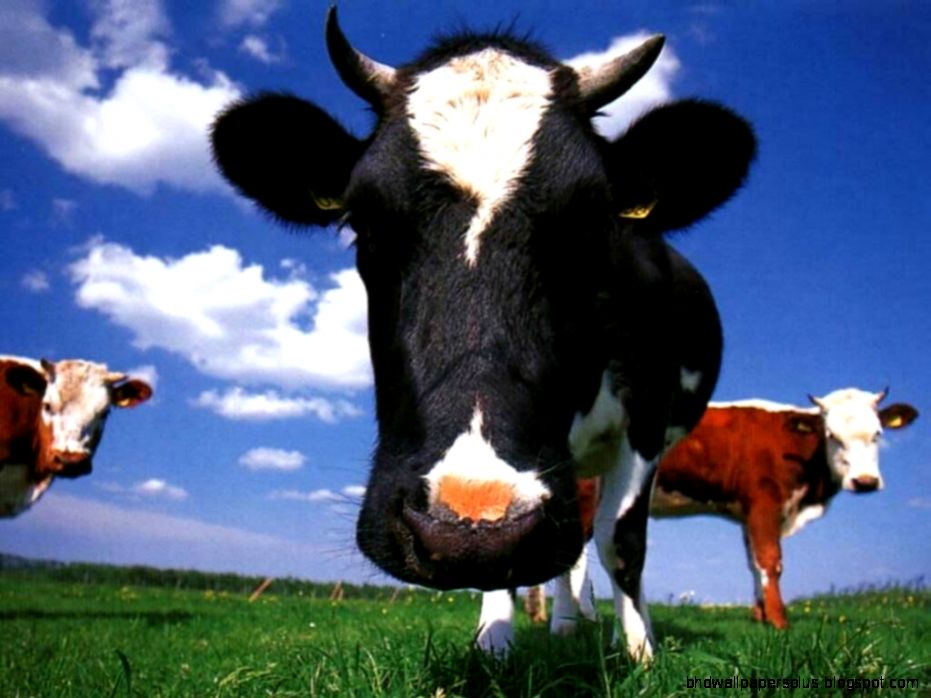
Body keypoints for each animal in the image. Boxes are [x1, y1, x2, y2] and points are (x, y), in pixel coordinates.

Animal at [210, 8, 756, 660]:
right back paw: (565, 624)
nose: (468, 527)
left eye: (592, 227)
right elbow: (526, 567)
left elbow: (621, 542)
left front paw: (641, 652)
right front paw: (495, 642)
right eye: (363, 222)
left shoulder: (647, 413)